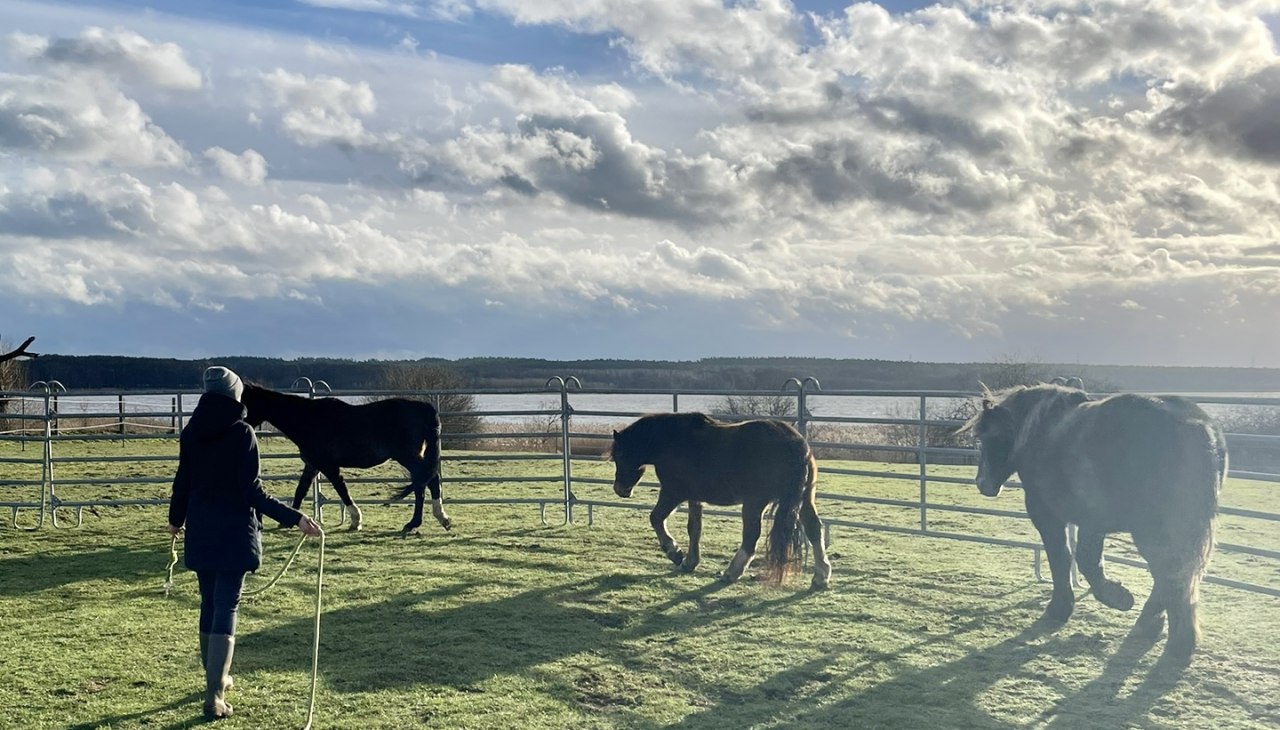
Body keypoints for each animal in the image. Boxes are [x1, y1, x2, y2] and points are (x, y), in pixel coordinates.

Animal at [240, 384, 447, 534]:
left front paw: (356, 521)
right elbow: (300, 490)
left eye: (243, 401)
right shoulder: (312, 465)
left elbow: (342, 490)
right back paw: (438, 519)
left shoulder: (328, 466)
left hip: (408, 457)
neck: (308, 420)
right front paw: (289, 521)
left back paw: (416, 523)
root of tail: (425, 408)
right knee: (427, 481)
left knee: (425, 483)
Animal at [607, 412, 832, 589]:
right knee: (814, 529)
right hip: (804, 498)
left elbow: (656, 518)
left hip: (754, 503)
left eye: (620, 455)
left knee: (751, 537)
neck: (670, 441)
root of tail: (795, 443)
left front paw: (674, 552)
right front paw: (690, 561)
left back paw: (732, 571)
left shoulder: (673, 492)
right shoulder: (694, 497)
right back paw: (821, 575)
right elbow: (694, 529)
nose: (620, 489)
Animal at [962, 383, 1226, 658]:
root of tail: (1198, 427)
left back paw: (1177, 642)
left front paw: (1068, 606)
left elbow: (1062, 558)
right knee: (1171, 576)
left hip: (1153, 532)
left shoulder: (1047, 516)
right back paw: (1151, 625)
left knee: (1172, 574)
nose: (983, 483)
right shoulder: (1092, 521)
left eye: (987, 437)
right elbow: (1087, 560)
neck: (1041, 430)